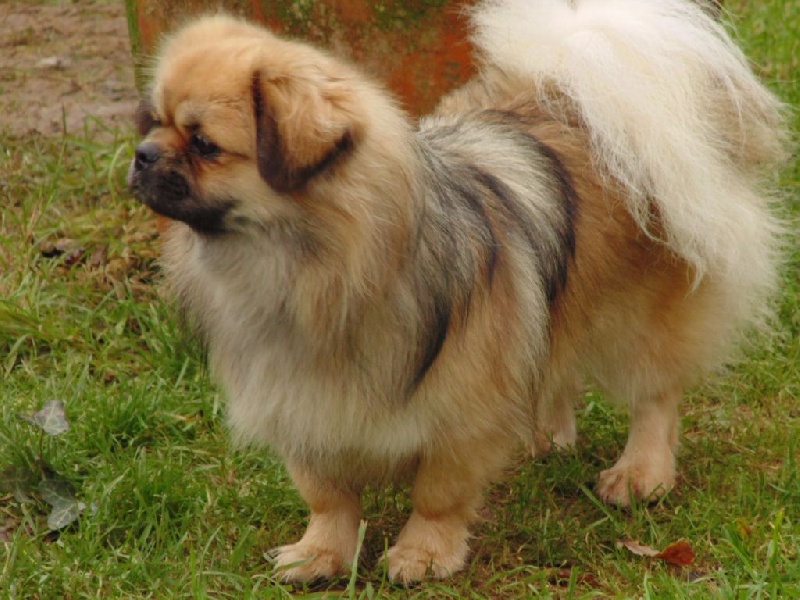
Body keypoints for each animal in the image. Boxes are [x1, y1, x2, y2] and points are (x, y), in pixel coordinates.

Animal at [128, 0, 787, 583]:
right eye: (153, 122)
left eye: (204, 145)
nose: (141, 155)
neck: (304, 264)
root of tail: (578, 96)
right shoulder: (301, 405)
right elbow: (328, 495)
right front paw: (321, 555)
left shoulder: (460, 409)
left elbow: (438, 492)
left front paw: (423, 554)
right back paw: (544, 436)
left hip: (641, 312)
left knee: (654, 393)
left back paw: (639, 472)